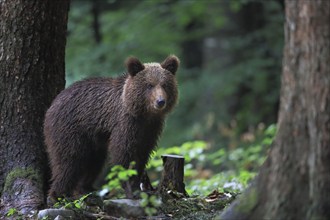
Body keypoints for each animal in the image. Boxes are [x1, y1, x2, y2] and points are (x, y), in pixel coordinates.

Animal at [43, 55, 179, 199]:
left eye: (164, 84)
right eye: (149, 85)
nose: (160, 101)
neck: (143, 114)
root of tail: (53, 104)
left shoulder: (150, 129)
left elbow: (142, 154)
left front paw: (139, 186)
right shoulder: (125, 123)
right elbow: (124, 154)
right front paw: (130, 187)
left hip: (92, 141)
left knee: (94, 162)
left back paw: (86, 188)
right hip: (69, 130)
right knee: (68, 161)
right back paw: (58, 194)